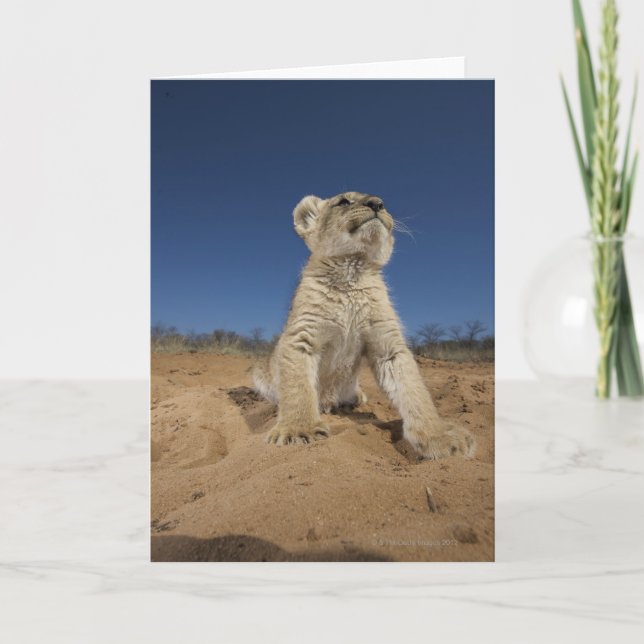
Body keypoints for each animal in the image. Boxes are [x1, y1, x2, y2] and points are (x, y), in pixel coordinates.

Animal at [253, 191, 474, 460]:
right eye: (343, 202)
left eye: (382, 203)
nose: (377, 204)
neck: (353, 269)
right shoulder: (300, 337)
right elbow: (297, 389)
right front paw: (298, 430)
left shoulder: (389, 345)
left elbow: (415, 392)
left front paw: (440, 437)